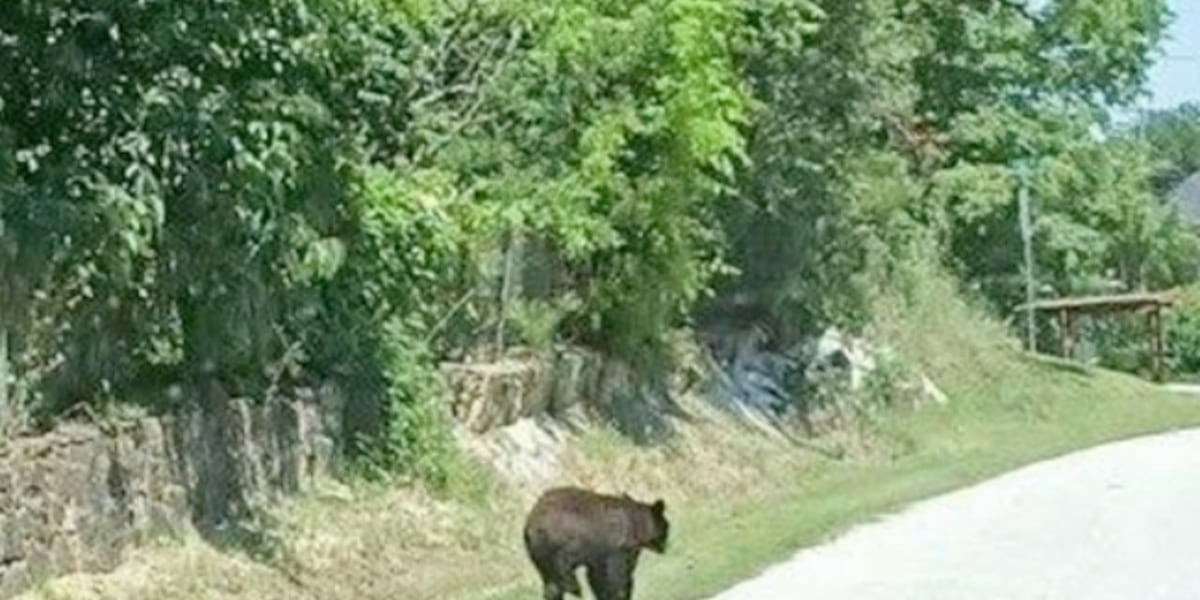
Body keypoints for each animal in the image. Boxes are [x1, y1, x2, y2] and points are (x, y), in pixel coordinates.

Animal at [523, 486, 669, 600]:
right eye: (666, 527)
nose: (664, 548)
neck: (636, 524)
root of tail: (531, 525)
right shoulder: (616, 548)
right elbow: (617, 577)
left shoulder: (599, 558)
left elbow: (597, 577)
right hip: (563, 543)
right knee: (561, 574)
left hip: (538, 555)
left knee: (552, 584)